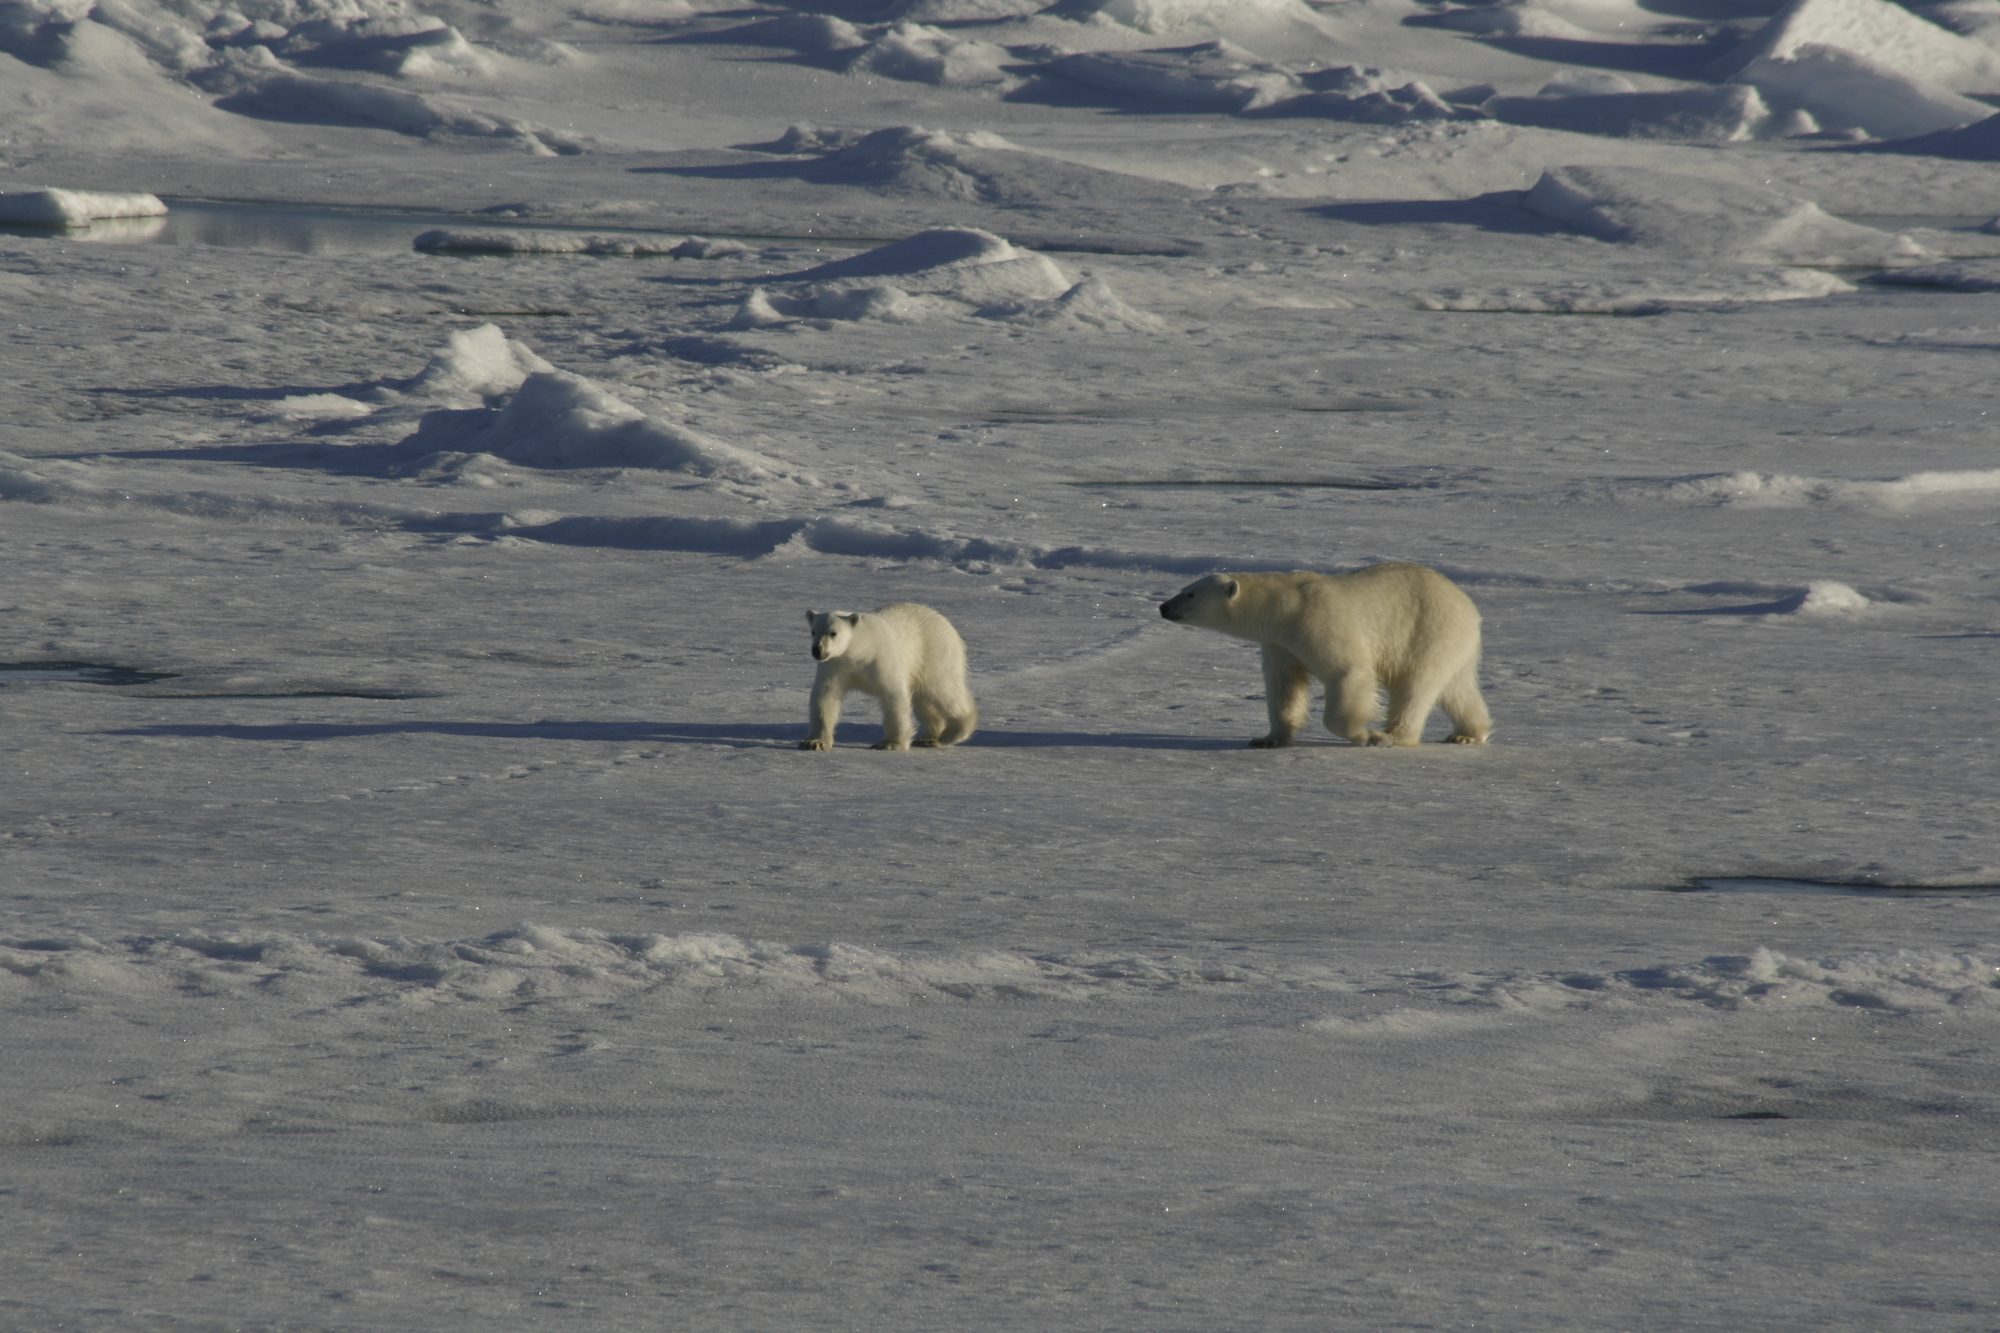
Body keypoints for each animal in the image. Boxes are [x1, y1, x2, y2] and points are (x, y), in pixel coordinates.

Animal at [800, 600, 980, 748]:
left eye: (833, 633)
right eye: (813, 631)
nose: (817, 650)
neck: (862, 649)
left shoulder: (881, 661)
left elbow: (894, 695)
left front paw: (890, 743)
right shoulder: (836, 666)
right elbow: (825, 696)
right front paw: (814, 742)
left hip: (934, 654)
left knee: (943, 690)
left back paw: (953, 733)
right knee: (923, 699)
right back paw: (927, 738)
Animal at [1160, 564, 1488, 748]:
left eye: (1191, 594)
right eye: (1184, 587)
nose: (1164, 607)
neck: (1285, 606)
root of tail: (1468, 605)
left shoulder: (1316, 619)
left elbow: (1347, 671)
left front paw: (1363, 735)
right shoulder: (1280, 643)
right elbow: (1284, 685)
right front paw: (1267, 738)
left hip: (1429, 629)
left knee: (1415, 686)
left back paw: (1390, 735)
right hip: (1452, 643)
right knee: (1456, 688)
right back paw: (1467, 734)